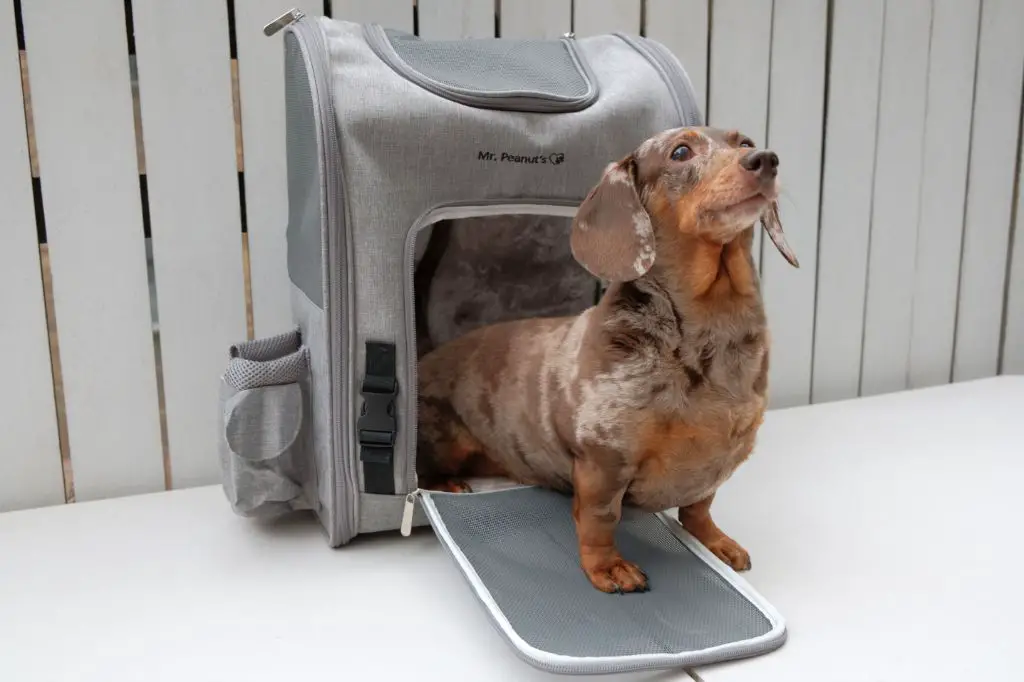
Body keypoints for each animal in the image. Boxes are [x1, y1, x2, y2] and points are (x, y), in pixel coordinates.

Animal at [415, 124, 798, 593]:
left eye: (744, 143)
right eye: (680, 152)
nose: (765, 160)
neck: (711, 333)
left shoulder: (717, 461)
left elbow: (699, 508)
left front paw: (715, 542)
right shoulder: (603, 458)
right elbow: (600, 519)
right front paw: (607, 566)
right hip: (442, 439)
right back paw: (447, 482)